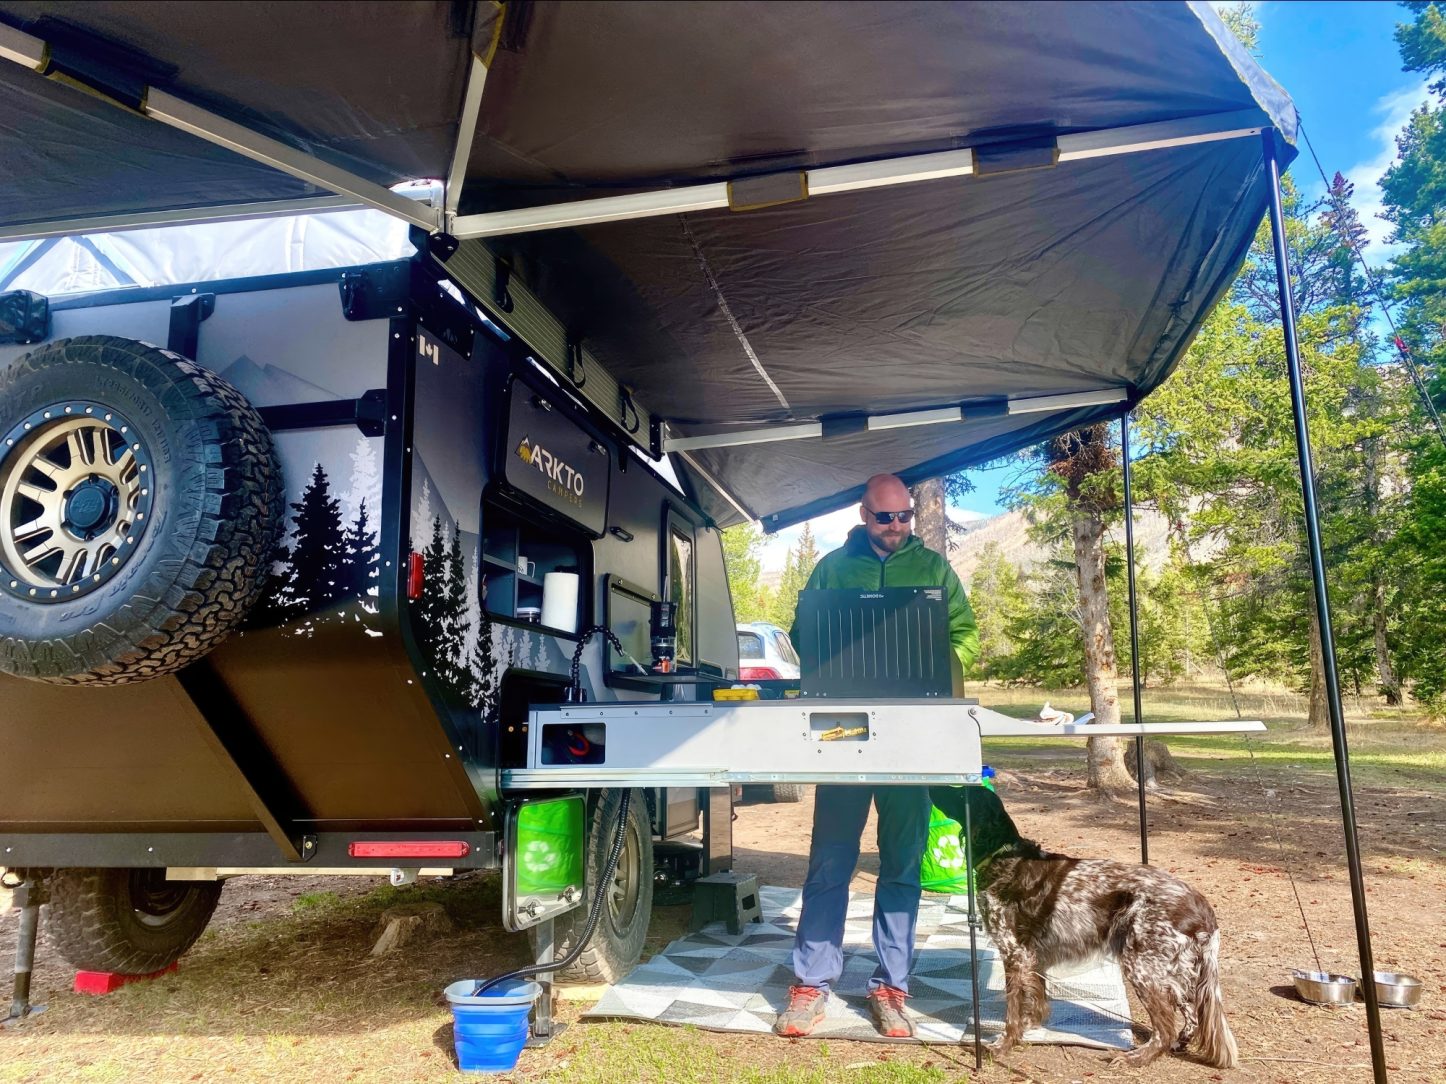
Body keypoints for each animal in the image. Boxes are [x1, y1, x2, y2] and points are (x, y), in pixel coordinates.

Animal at [928, 786, 1239, 1069]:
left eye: (961, 794)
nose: (934, 787)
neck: (1005, 857)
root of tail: (1202, 906)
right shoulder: (1034, 957)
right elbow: (1036, 1000)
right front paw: (1030, 1026)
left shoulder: (1015, 953)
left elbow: (1013, 1010)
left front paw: (1002, 1045)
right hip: (1174, 973)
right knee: (1191, 1016)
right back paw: (1176, 1045)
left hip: (1141, 966)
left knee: (1165, 1028)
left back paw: (1135, 1058)